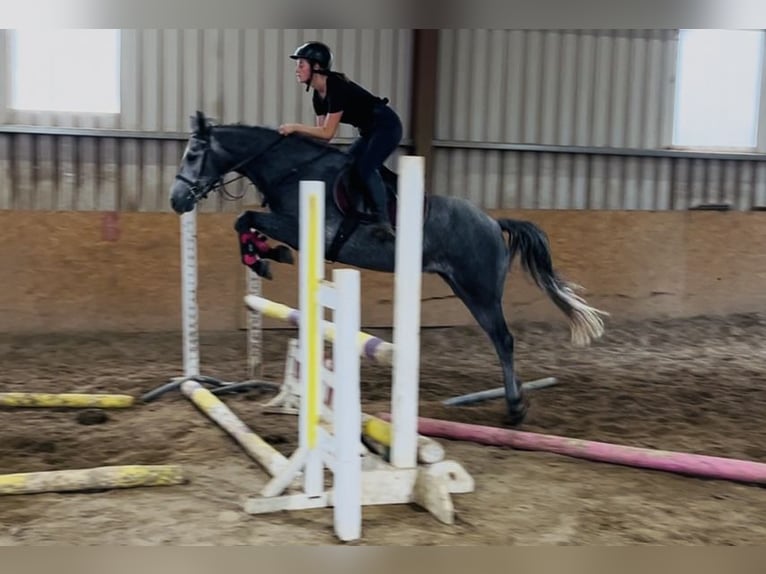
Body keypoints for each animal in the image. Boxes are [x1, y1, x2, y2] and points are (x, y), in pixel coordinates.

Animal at [169, 110, 608, 426]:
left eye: (193, 154)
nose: (176, 200)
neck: (292, 169)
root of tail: (492, 221)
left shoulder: (301, 228)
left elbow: (244, 218)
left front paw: (266, 258)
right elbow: (245, 222)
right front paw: (263, 256)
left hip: (479, 290)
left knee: (503, 339)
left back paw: (515, 409)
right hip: (463, 285)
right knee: (501, 339)